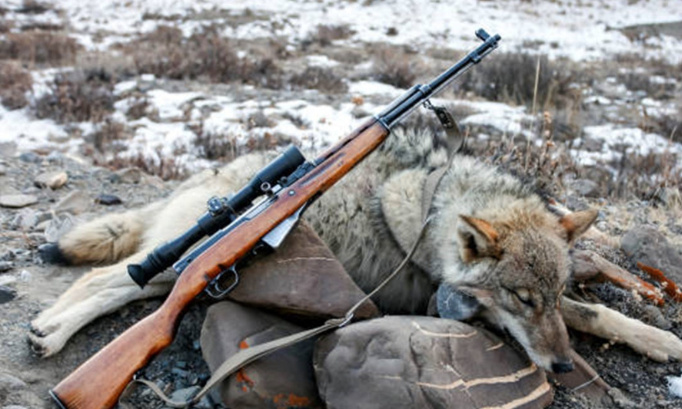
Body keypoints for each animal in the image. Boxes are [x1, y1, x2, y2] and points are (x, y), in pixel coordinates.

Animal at [31, 127, 682, 373]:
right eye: (522, 300)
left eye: (547, 295)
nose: (564, 368)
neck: (436, 203)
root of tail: (212, 181)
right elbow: (593, 314)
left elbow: (592, 309)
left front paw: (657, 336)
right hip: (184, 270)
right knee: (106, 281)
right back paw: (51, 335)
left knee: (113, 283)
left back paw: (48, 330)